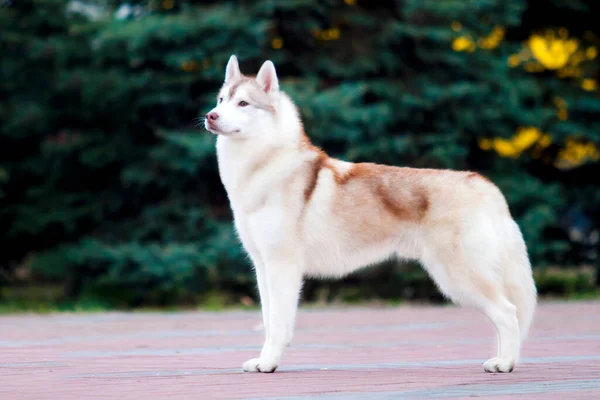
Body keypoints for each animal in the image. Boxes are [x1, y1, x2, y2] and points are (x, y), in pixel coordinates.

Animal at [204, 54, 536, 374]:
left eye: (243, 103)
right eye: (220, 100)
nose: (210, 115)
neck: (263, 166)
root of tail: (482, 183)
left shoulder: (283, 267)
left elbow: (278, 327)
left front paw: (268, 364)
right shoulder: (263, 267)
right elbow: (269, 321)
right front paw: (264, 361)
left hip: (459, 278)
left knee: (508, 313)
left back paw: (504, 363)